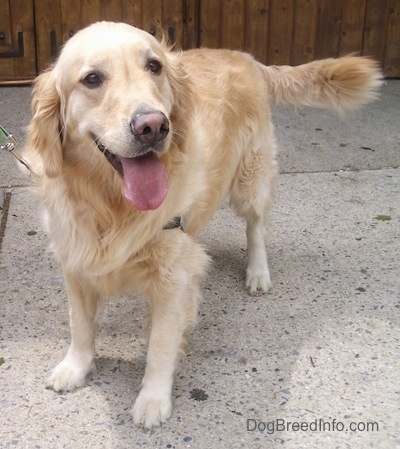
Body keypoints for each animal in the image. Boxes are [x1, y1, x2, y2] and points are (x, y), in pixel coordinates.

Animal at [23, 21, 382, 428]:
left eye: (154, 66)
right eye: (92, 79)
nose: (153, 126)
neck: (110, 204)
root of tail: (245, 56)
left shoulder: (172, 278)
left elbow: (160, 344)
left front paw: (153, 399)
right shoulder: (75, 257)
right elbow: (79, 323)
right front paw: (76, 367)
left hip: (251, 177)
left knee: (256, 227)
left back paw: (257, 272)